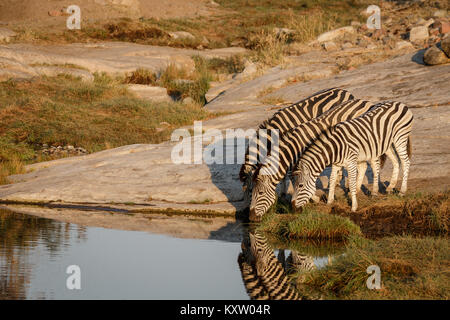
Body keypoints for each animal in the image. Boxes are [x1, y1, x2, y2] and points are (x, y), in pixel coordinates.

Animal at [246, 99, 376, 221]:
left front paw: (314, 198)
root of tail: (363, 101)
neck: (293, 148)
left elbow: (297, 180)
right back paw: (356, 189)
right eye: (251, 192)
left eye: (260, 193)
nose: (251, 218)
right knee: (363, 166)